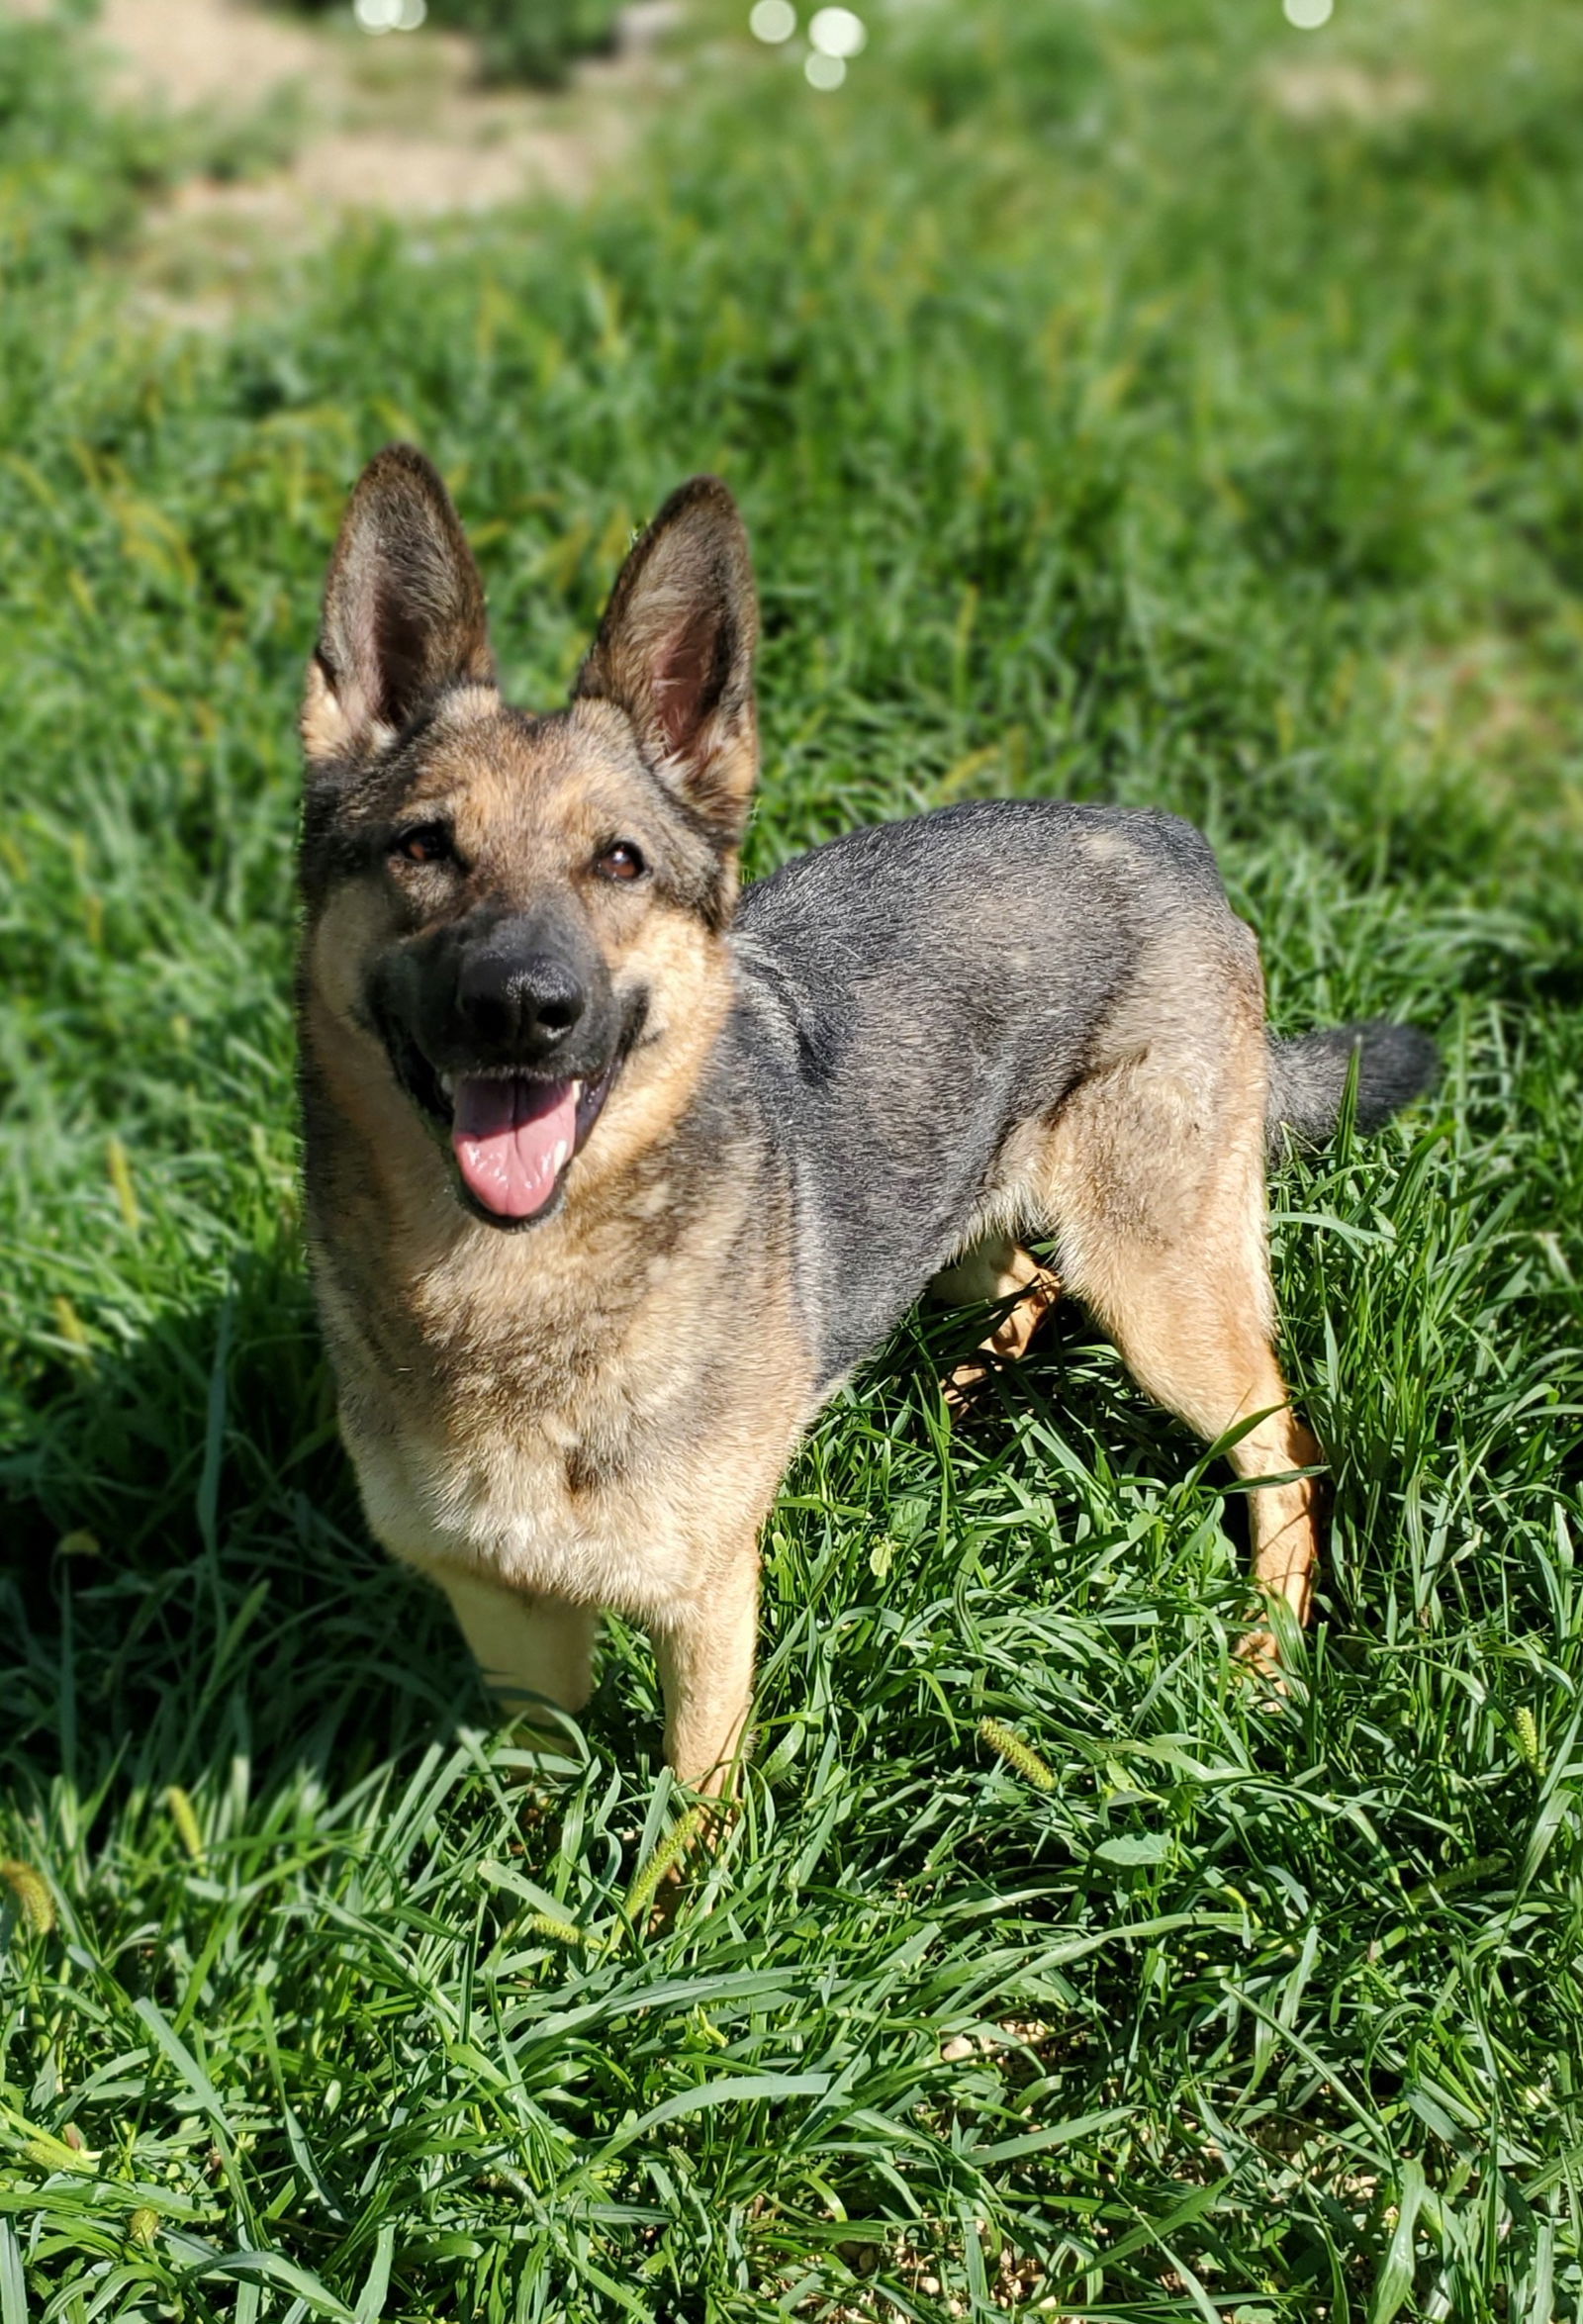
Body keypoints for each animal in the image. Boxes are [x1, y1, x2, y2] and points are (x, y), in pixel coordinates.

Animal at [300, 457, 1441, 1794]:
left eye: (619, 862)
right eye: (423, 846)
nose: (523, 1009)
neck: (505, 1294)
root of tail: (1170, 836)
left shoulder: (703, 1603)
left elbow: (692, 1808)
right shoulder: (505, 1618)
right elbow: (545, 1791)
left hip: (1161, 1291)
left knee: (1282, 1449)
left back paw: (1268, 1654)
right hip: (953, 1222)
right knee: (1025, 1286)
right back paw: (955, 1393)